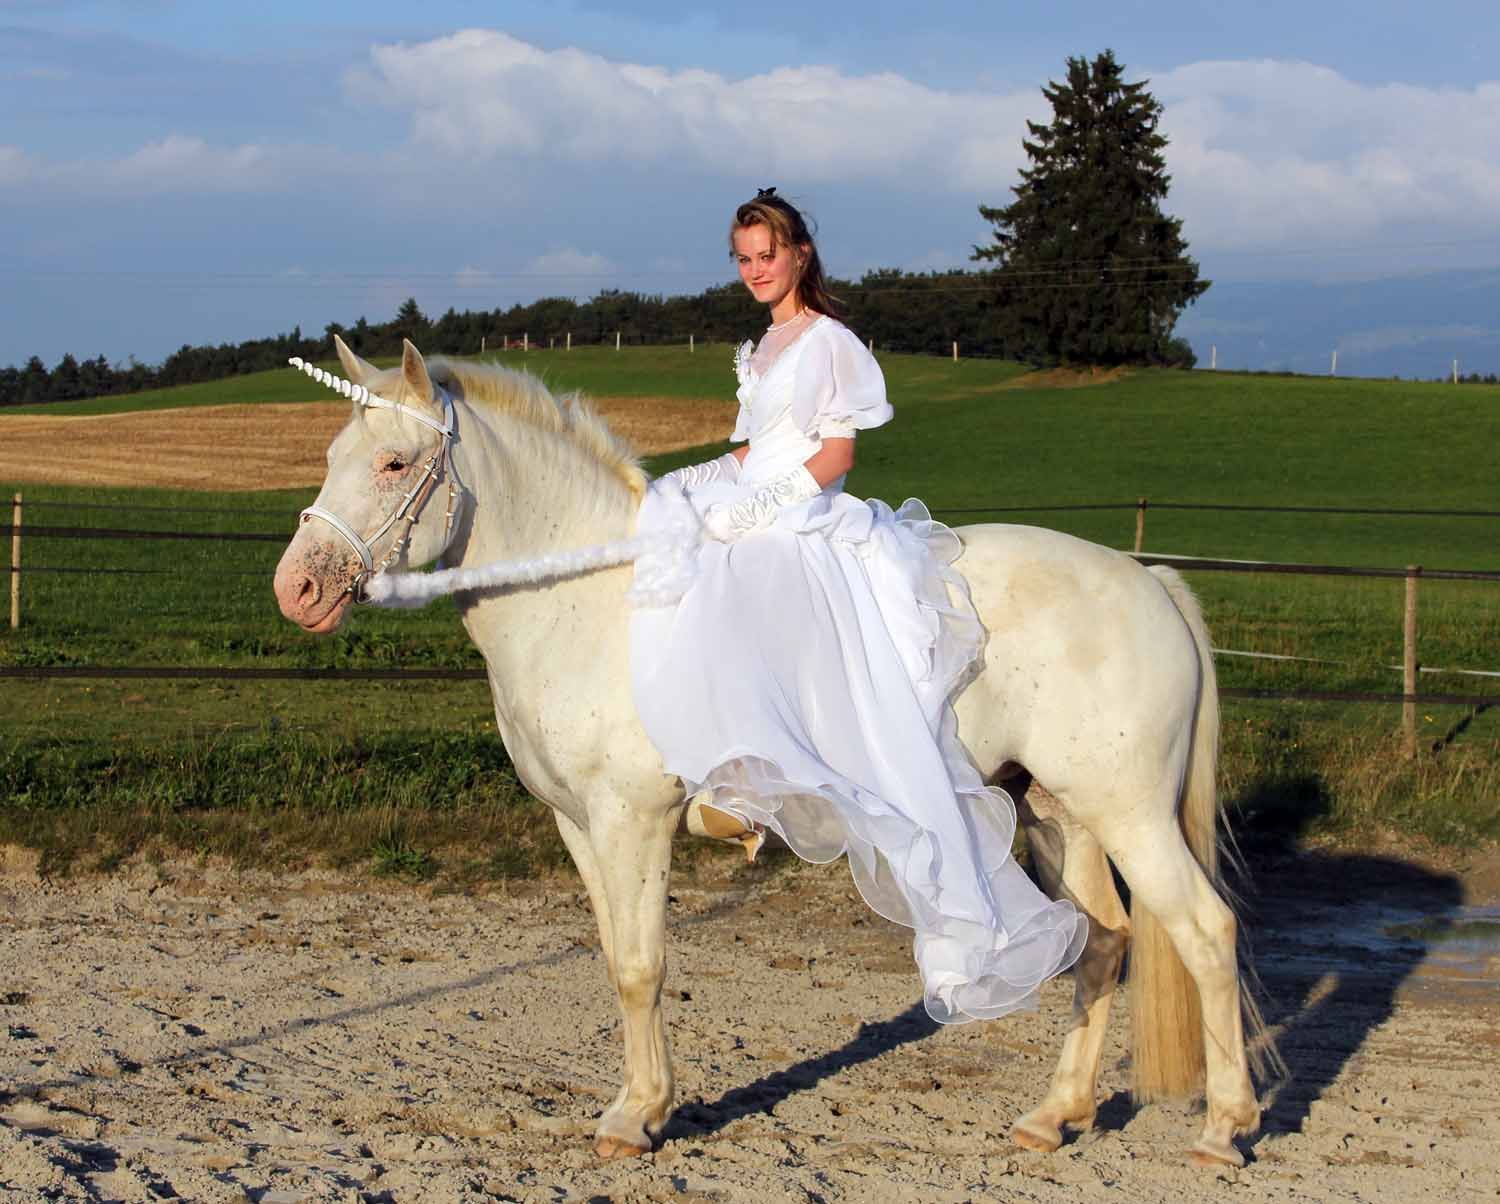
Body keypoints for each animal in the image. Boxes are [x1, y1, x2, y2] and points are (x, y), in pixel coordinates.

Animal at [273, 335, 1271, 1167]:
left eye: (394, 462)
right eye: (330, 458)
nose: (298, 589)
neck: (595, 604)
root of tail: (1146, 580)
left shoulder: (634, 822)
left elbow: (642, 966)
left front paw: (638, 1120)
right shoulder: (578, 826)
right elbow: (614, 958)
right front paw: (639, 1103)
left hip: (1132, 815)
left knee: (1205, 931)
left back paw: (1225, 1129)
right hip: (1059, 813)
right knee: (1103, 941)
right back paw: (1055, 1115)